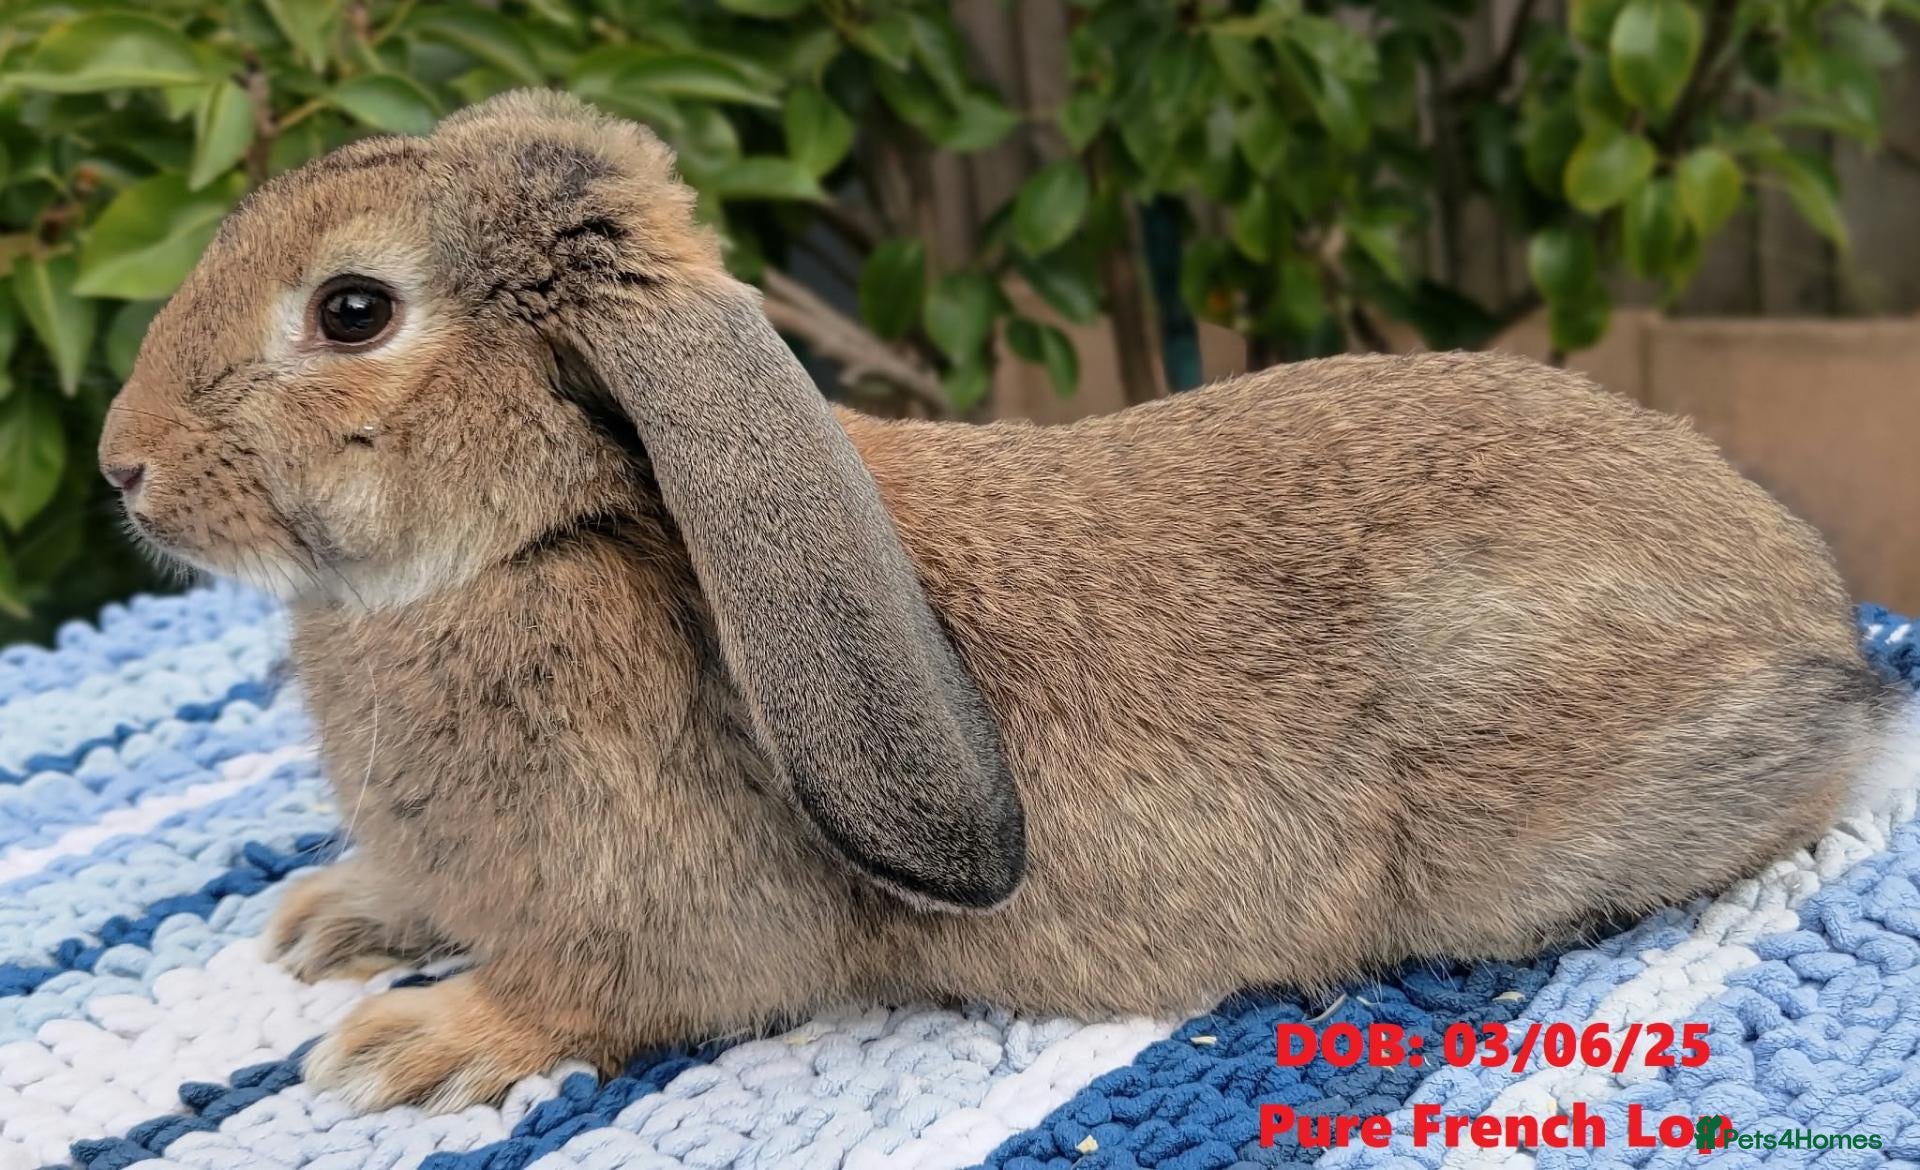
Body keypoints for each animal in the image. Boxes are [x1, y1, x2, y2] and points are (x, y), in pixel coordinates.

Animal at [97, 89, 1907, 1114]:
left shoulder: (658, 912)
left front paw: (417, 1045)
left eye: (352, 311)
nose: (120, 469)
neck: (562, 521)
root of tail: (1813, 620)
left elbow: (600, 995)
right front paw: (337, 916)